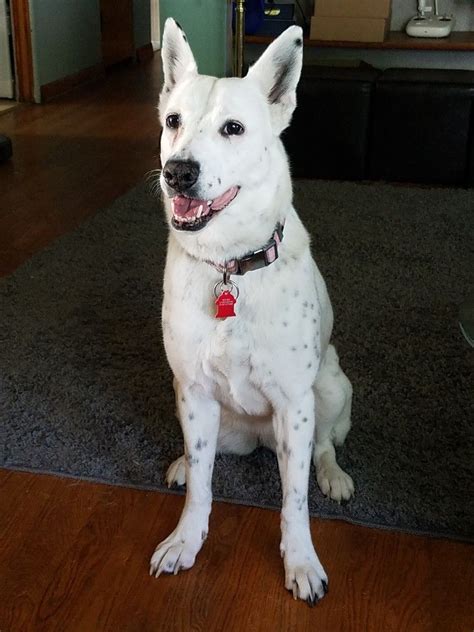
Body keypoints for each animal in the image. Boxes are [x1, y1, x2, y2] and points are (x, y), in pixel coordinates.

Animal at [150, 17, 354, 604]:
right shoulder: (193, 391)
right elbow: (201, 484)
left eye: (233, 129)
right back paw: (181, 463)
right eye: (172, 121)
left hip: (330, 386)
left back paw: (332, 475)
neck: (229, 265)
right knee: (205, 456)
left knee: (323, 446)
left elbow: (294, 500)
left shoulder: (294, 403)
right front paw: (186, 540)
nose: (177, 172)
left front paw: (301, 561)